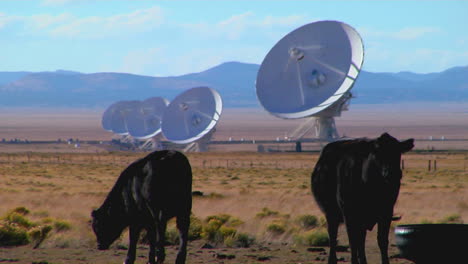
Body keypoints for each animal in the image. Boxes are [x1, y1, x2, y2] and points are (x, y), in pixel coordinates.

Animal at [310, 134, 414, 264]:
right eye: (377, 154)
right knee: (333, 236)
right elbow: (352, 241)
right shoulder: (349, 214)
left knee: (361, 240)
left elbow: (381, 240)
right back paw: (332, 259)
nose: (391, 173)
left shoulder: (386, 212)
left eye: (398, 152)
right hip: (331, 213)